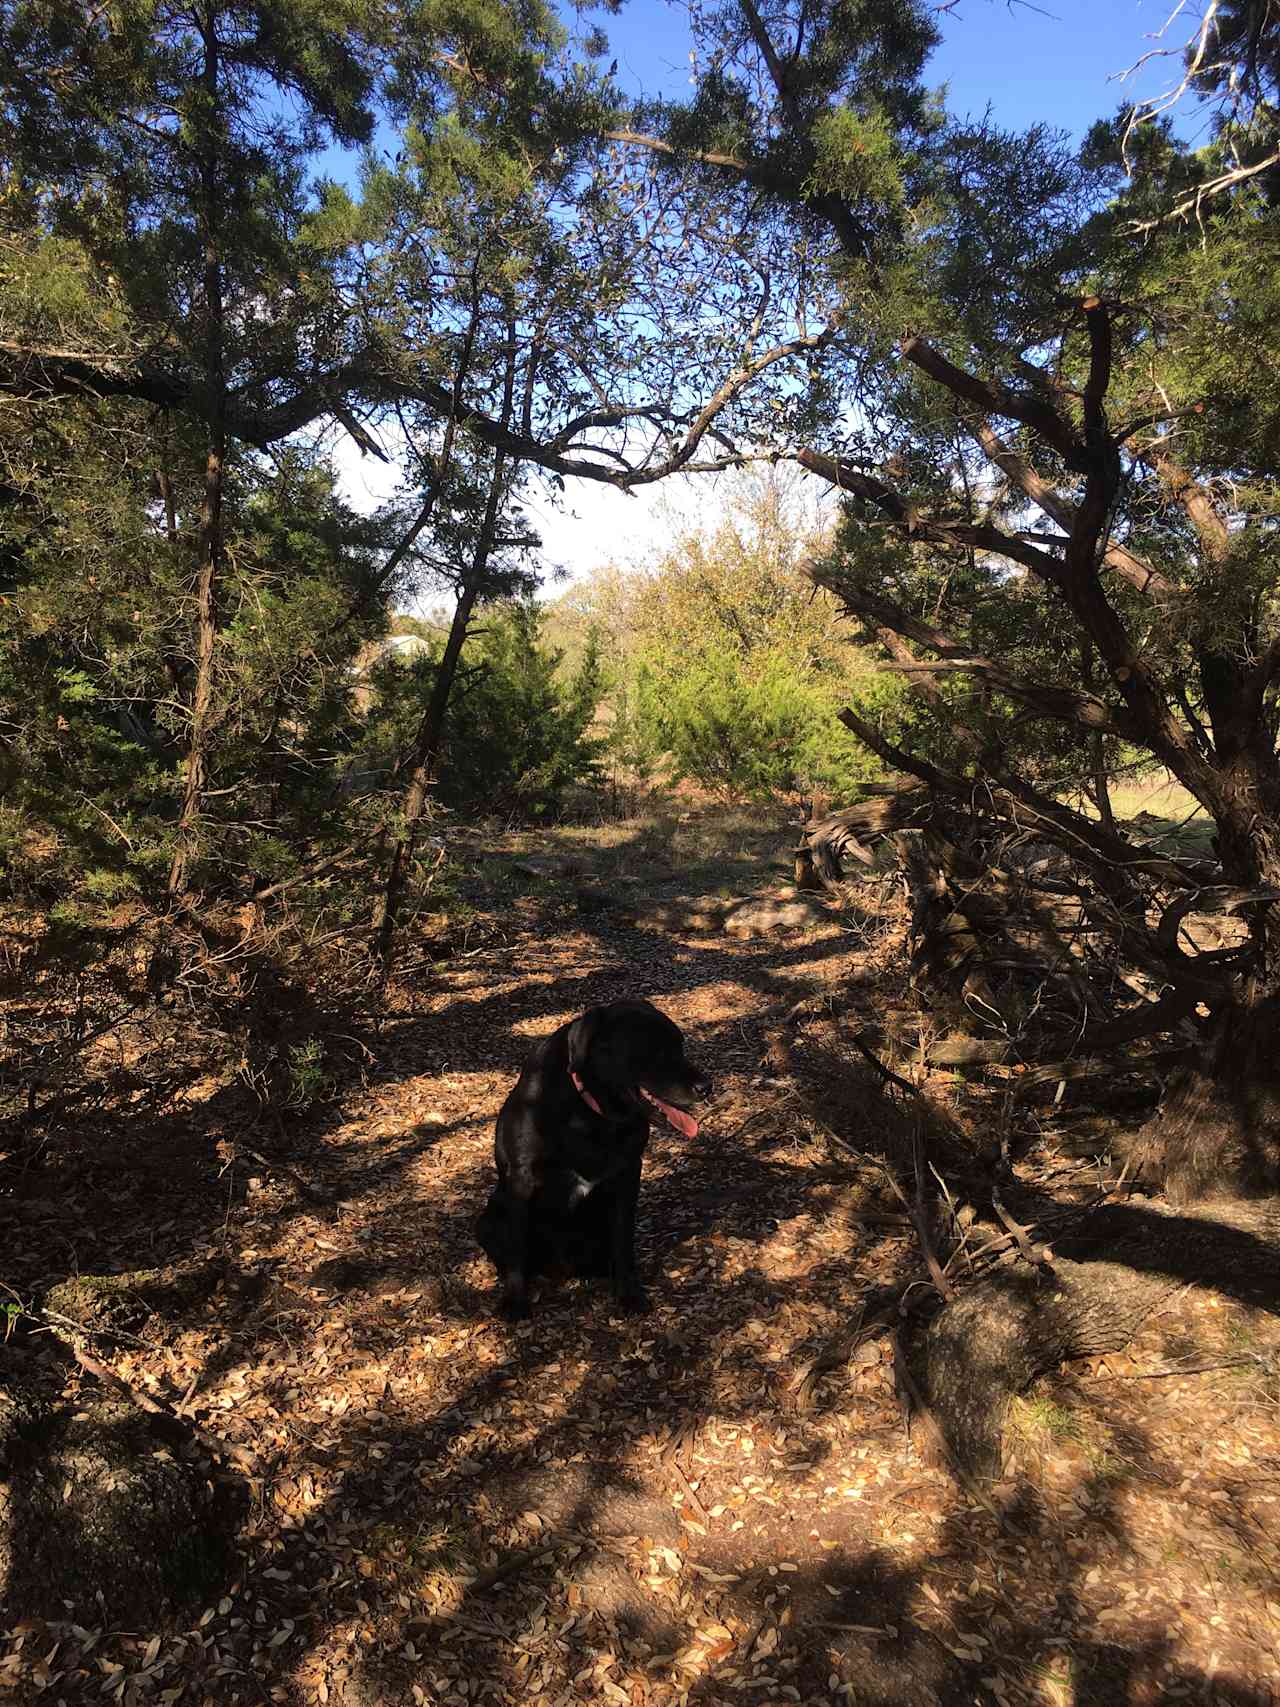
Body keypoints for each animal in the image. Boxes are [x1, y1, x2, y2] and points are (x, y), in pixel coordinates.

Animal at [477, 996, 706, 1317]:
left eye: (680, 1046)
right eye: (655, 1049)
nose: (706, 1087)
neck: (588, 1111)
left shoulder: (627, 1175)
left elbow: (623, 1243)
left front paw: (629, 1294)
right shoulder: (522, 1179)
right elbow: (517, 1247)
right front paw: (514, 1301)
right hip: (489, 1218)